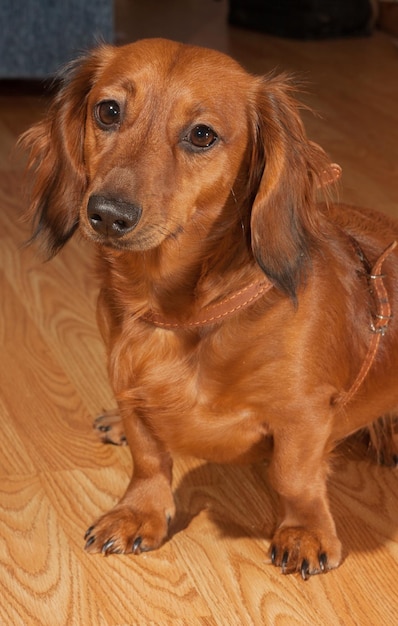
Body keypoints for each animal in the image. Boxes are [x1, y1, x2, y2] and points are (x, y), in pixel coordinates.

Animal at [19, 37, 398, 576]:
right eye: (108, 111)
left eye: (202, 135)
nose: (107, 215)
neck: (180, 313)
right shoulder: (128, 383)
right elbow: (148, 456)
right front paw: (139, 512)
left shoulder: (303, 416)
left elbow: (294, 475)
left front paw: (305, 531)